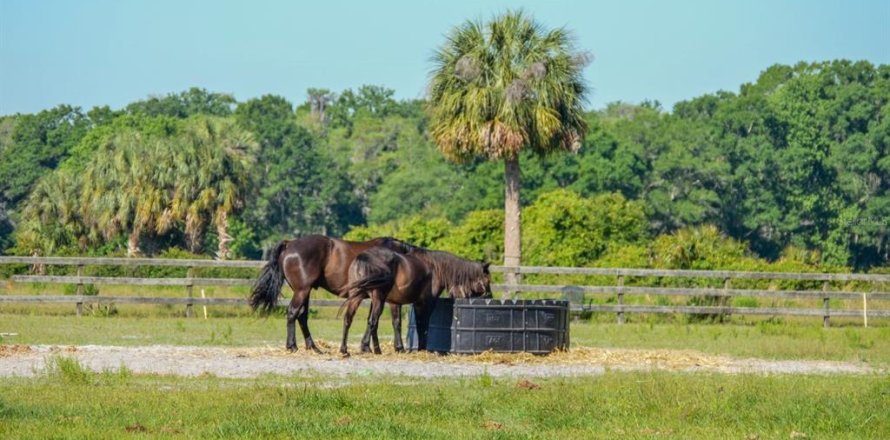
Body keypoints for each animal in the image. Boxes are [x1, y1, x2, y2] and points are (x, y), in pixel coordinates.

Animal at [246, 235, 412, 352]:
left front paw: (367, 347)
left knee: (302, 315)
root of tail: (290, 243)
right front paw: (399, 348)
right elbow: (396, 321)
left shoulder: (376, 297)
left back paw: (313, 347)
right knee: (293, 312)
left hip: (304, 292)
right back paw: (292, 346)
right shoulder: (389, 299)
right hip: (302, 291)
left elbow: (372, 321)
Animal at [340, 244, 492, 358]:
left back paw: (345, 349)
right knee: (373, 321)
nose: (489, 296)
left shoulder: (394, 302)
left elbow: (396, 323)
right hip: (378, 299)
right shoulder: (425, 303)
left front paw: (399, 348)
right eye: (487, 280)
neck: (435, 268)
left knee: (348, 319)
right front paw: (421, 348)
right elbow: (422, 324)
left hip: (358, 297)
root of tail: (364, 257)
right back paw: (373, 349)